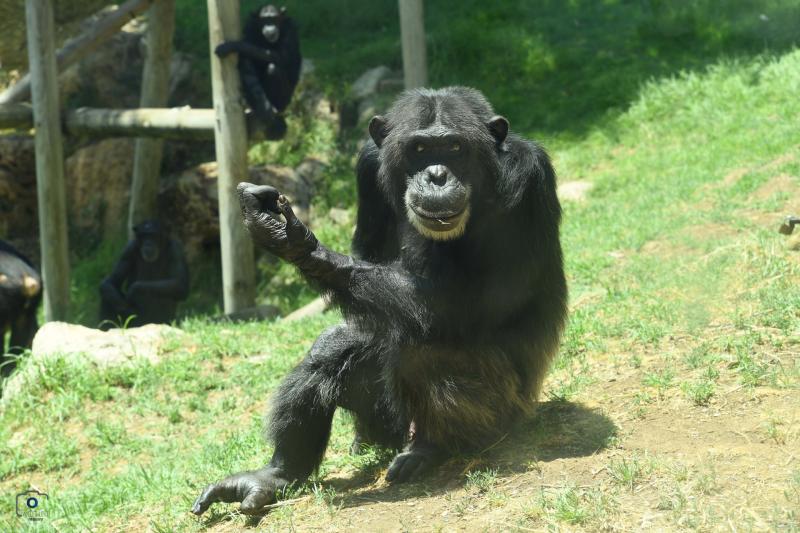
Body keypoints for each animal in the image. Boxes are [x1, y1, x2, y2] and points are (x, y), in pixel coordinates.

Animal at [192, 87, 568, 516]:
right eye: (419, 148)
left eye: (455, 147)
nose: (437, 175)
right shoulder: (368, 168)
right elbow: (368, 277)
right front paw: (276, 225)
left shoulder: (524, 177)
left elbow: (472, 302)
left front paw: (299, 243)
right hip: (385, 425)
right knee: (331, 356)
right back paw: (276, 475)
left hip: (502, 412)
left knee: (423, 351)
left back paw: (430, 449)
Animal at [214, 4, 302, 140]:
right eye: (265, 20)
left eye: (274, 19)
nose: (270, 27)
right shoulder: (249, 27)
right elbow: (246, 62)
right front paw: (263, 106)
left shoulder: (290, 30)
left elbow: (281, 56)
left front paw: (233, 45)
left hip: (286, 100)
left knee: (273, 69)